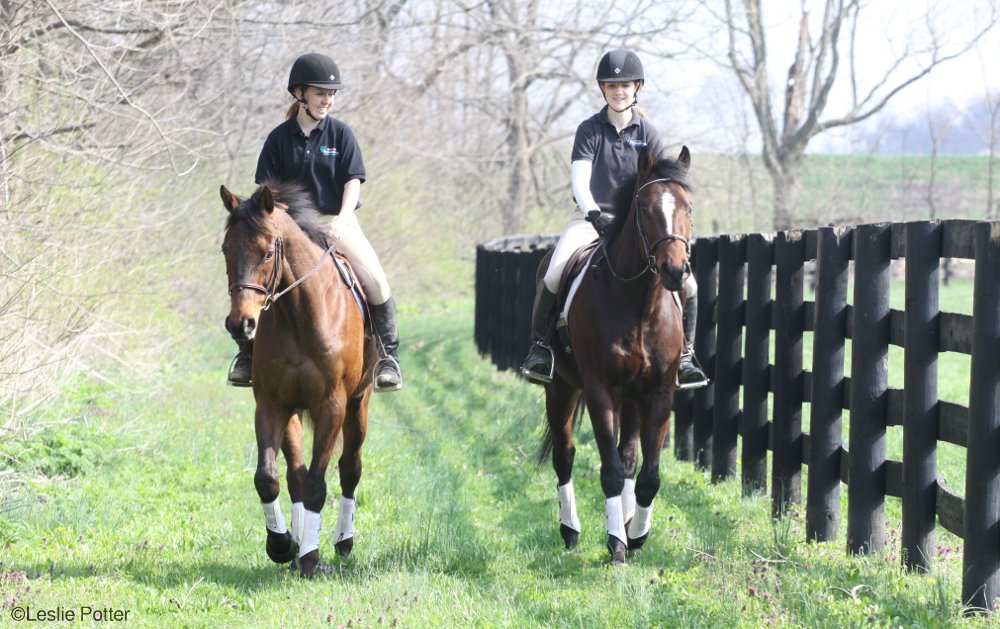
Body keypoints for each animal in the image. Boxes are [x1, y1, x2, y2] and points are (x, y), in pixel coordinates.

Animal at [219, 179, 376, 576]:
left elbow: (319, 484)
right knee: (296, 477)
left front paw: (310, 558)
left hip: (358, 404)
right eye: (226, 249)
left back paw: (341, 543)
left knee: (349, 469)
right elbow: (269, 478)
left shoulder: (332, 405)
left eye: (267, 254)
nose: (241, 325)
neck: (299, 314)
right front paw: (282, 545)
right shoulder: (272, 404)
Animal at [540, 145, 696, 560]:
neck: (639, 303)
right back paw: (571, 530)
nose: (675, 270)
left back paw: (627, 522)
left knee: (628, 458)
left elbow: (648, 475)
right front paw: (616, 544)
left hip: (631, 398)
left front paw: (637, 535)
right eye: (644, 207)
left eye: (688, 207)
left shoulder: (659, 394)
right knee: (565, 455)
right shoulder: (600, 389)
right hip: (561, 389)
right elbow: (608, 470)